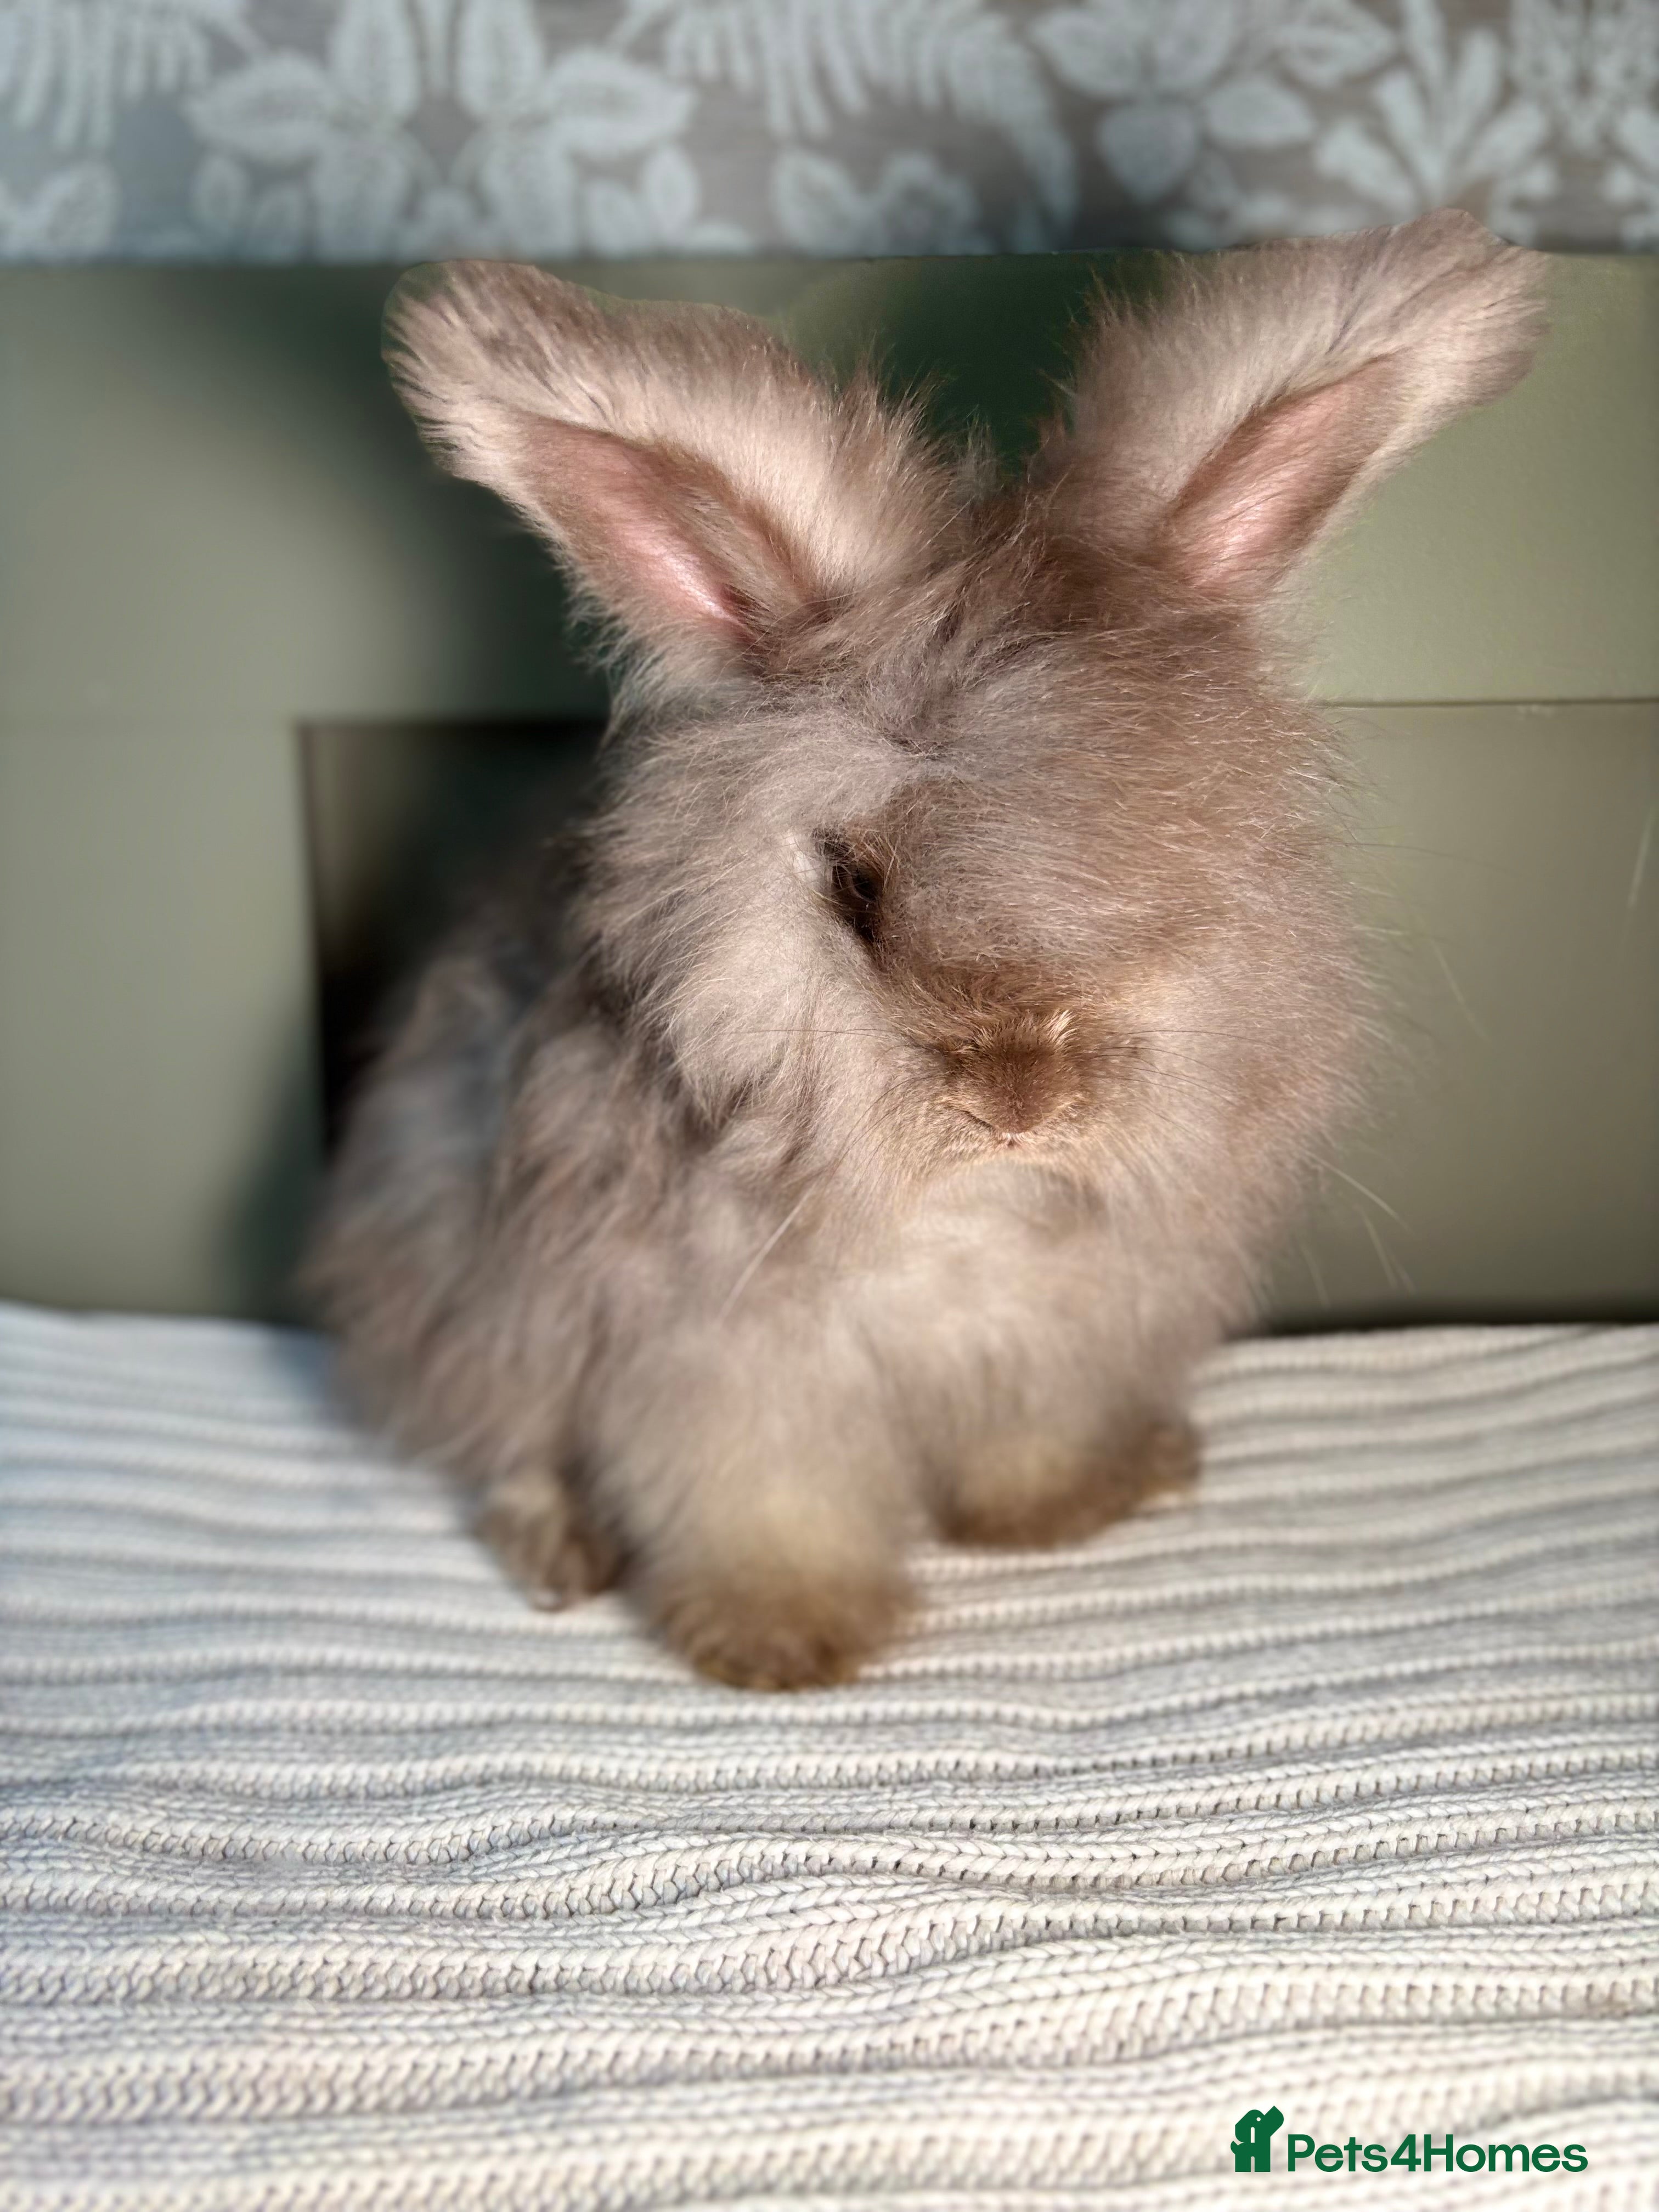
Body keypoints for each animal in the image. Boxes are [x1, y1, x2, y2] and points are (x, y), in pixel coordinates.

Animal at [308, 212, 1545, 1689]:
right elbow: (761, 1504)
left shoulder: (1058, 1330)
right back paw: (562, 1553)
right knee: (505, 1444)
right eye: (855, 887)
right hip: (456, 1275)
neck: (972, 1207)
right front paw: (783, 1644)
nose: (1023, 1100)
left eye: (1199, 859)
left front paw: (1053, 1516)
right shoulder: (721, 1365)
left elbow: (1026, 1445)